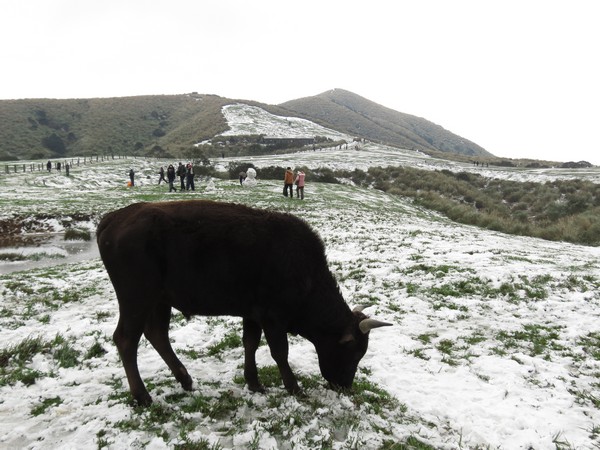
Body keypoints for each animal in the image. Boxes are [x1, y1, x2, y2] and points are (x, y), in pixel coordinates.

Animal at [98, 200, 390, 404]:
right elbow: (279, 352)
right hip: (137, 298)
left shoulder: (253, 313)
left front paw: (254, 382)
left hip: (159, 300)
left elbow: (250, 343)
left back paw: (185, 379)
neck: (305, 273)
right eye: (354, 351)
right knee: (126, 340)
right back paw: (142, 396)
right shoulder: (273, 317)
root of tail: (114, 217)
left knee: (157, 335)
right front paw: (293, 387)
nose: (345, 386)